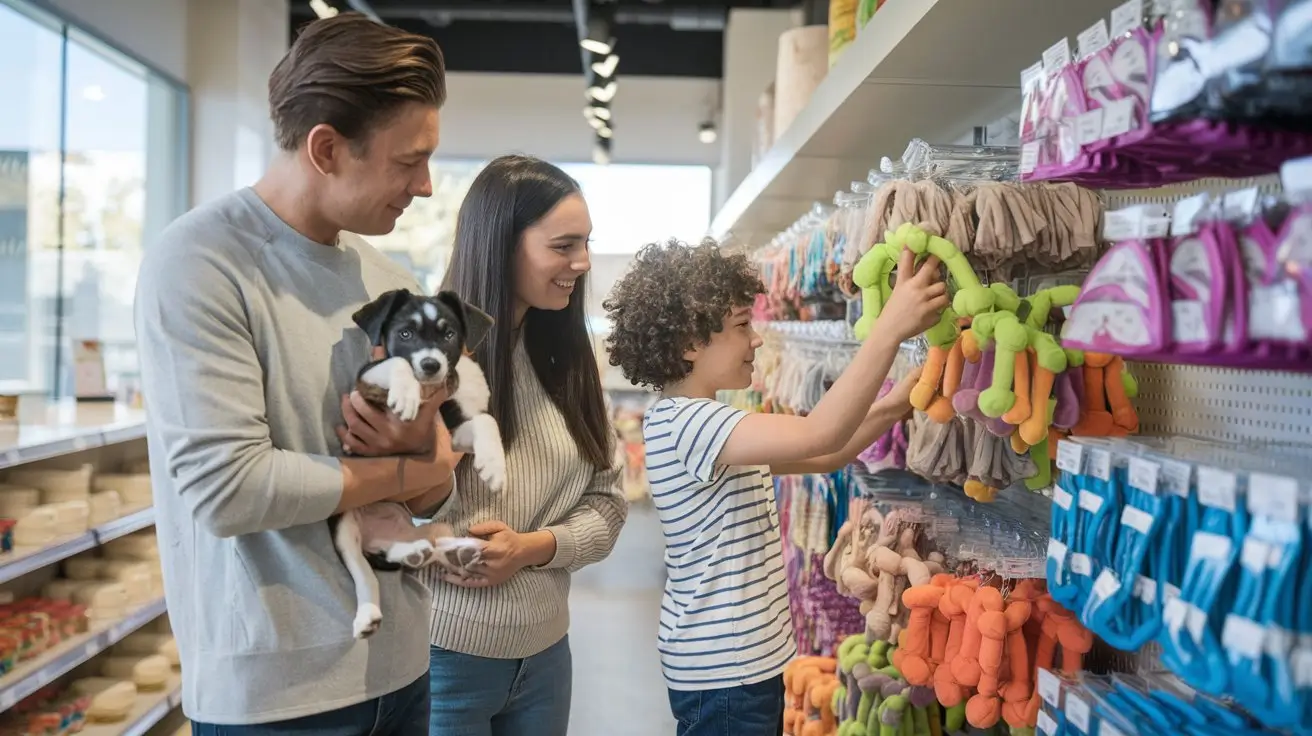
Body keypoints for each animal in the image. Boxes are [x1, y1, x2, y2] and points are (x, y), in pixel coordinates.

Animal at [328, 287, 506, 637]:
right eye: (405, 334)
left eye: (449, 334)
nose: (430, 364)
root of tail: (377, 536)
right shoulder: (366, 380)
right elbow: (397, 361)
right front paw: (406, 395)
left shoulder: (452, 430)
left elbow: (486, 421)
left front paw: (494, 466)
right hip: (344, 528)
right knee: (364, 571)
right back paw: (368, 614)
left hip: (431, 525)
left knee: (422, 549)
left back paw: (453, 551)